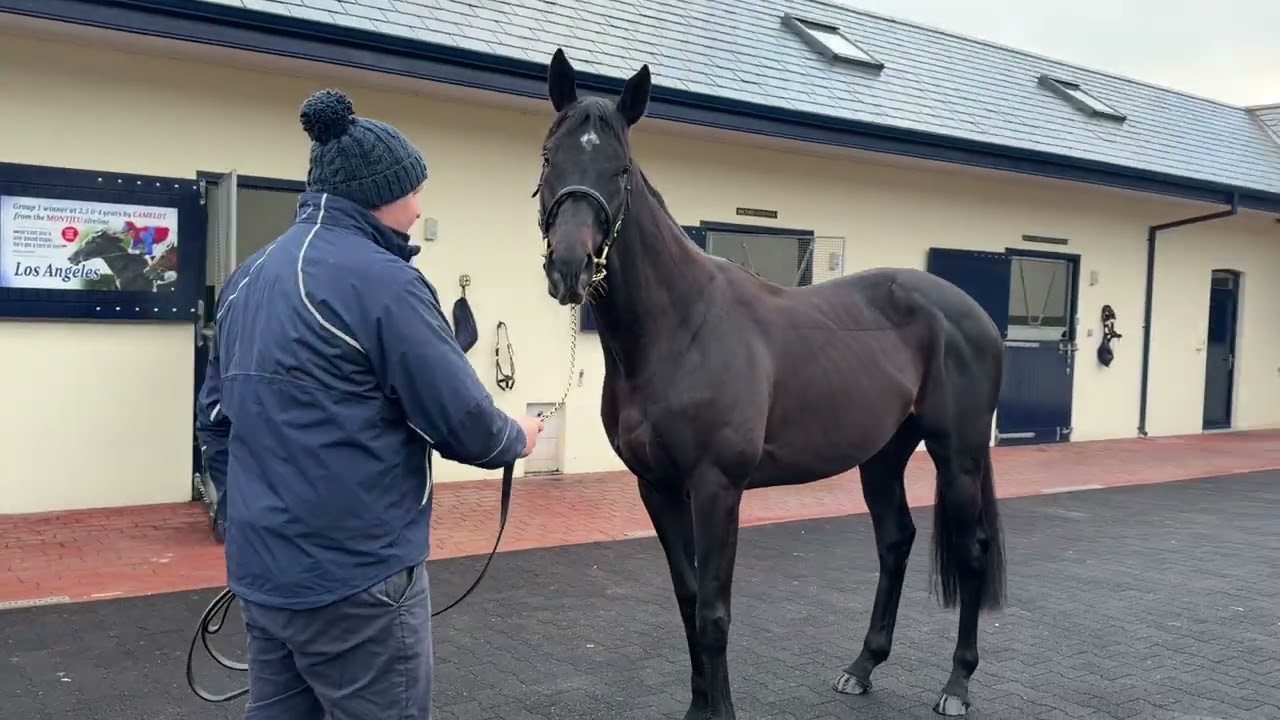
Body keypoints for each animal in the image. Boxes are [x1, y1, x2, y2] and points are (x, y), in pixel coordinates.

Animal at [533, 49, 1007, 720]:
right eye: (551, 158)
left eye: (620, 169)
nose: (570, 268)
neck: (680, 327)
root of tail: (973, 314)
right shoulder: (658, 488)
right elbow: (687, 598)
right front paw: (697, 708)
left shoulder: (717, 487)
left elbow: (714, 612)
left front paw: (720, 712)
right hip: (883, 454)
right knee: (896, 541)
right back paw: (863, 666)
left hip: (958, 455)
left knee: (971, 552)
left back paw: (957, 685)